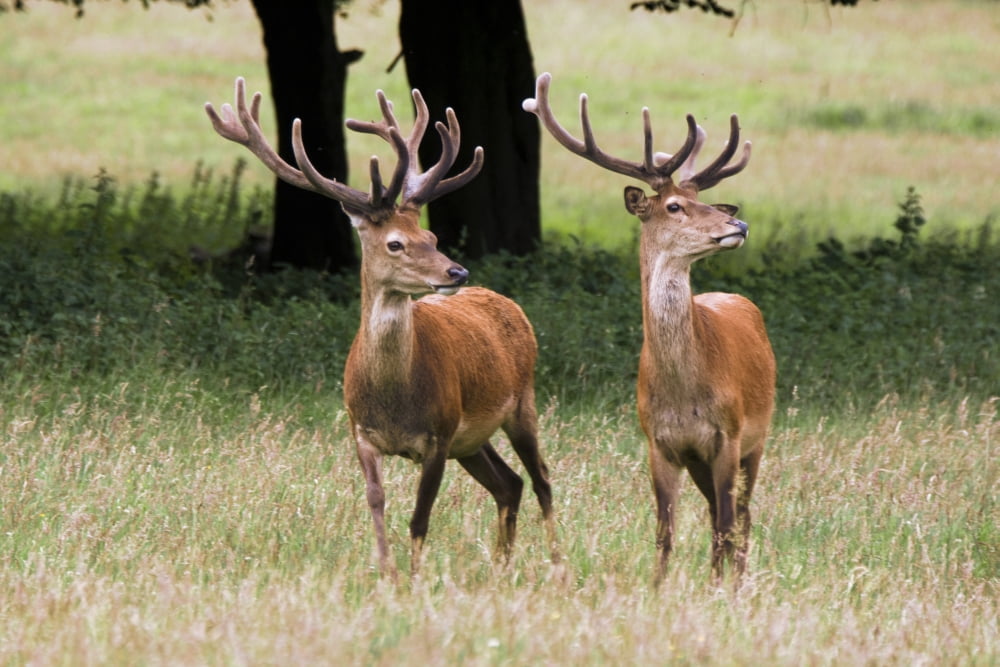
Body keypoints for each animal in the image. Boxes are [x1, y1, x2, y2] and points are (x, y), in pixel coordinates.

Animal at [206, 78, 560, 579]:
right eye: (395, 243)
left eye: (431, 237)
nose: (457, 272)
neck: (395, 400)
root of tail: (509, 304)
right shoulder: (361, 432)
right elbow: (376, 501)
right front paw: (385, 571)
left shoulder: (438, 435)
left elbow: (420, 516)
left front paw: (413, 578)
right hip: (471, 440)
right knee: (509, 484)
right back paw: (500, 566)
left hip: (520, 403)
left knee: (541, 478)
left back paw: (557, 562)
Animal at [523, 72, 775, 587]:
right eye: (675, 206)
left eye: (706, 202)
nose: (738, 223)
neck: (683, 392)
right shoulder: (658, 442)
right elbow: (664, 530)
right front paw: (658, 589)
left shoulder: (728, 434)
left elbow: (724, 524)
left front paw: (719, 589)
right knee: (721, 514)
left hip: (758, 438)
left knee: (741, 516)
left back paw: (739, 579)